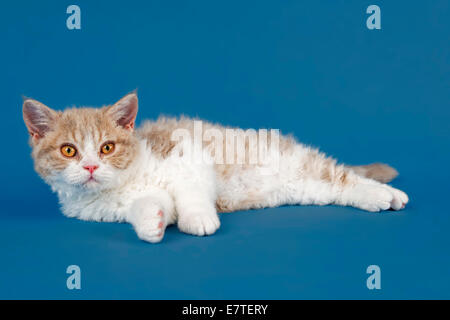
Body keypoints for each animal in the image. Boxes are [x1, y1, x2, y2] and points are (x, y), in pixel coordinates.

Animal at [22, 92, 410, 242]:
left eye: (107, 147)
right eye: (69, 150)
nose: (90, 167)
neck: (126, 181)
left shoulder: (187, 154)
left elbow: (191, 192)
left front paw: (198, 219)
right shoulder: (111, 209)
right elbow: (150, 205)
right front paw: (152, 224)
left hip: (298, 162)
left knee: (344, 176)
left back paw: (387, 194)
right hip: (304, 189)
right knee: (335, 189)